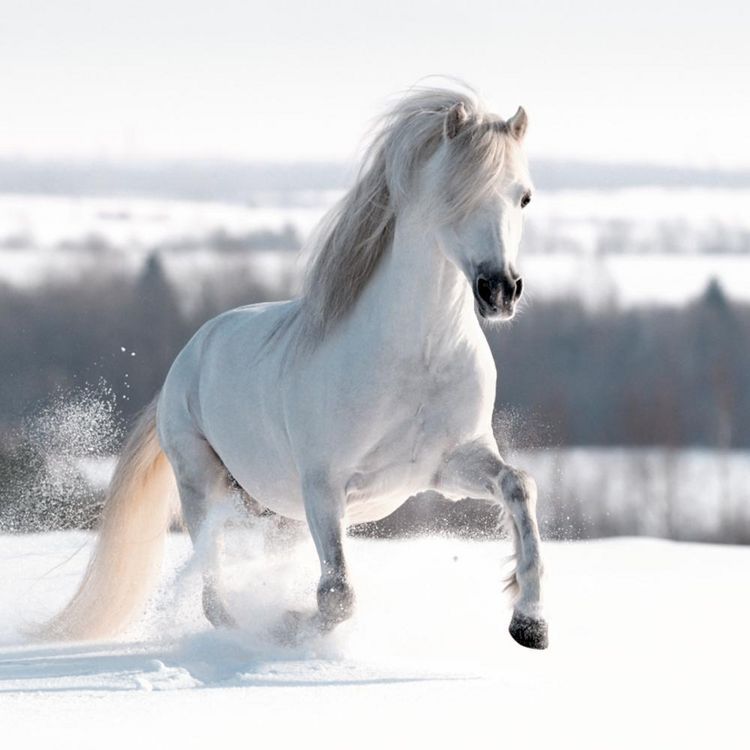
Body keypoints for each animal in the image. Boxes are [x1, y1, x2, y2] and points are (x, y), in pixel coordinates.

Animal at [43, 86, 548, 650]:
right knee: (213, 591)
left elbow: (519, 485)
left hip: (276, 511)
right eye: (454, 193)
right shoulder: (323, 486)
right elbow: (337, 595)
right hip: (202, 485)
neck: (417, 357)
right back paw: (245, 633)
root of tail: (189, 355)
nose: (500, 290)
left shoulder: (448, 465)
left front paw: (530, 623)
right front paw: (289, 626)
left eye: (524, 197)